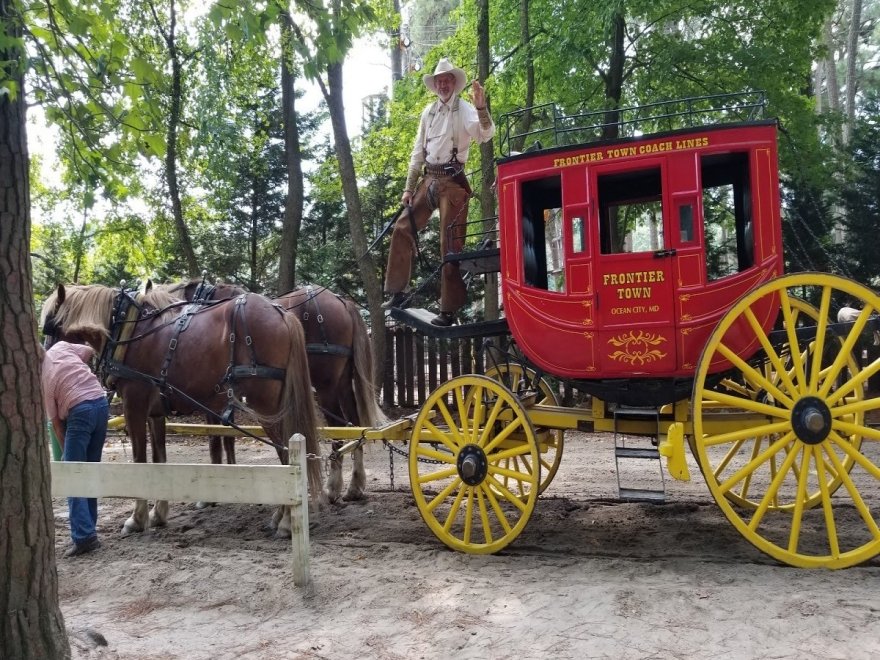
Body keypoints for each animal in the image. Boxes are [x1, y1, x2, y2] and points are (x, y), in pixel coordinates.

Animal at [41, 284, 326, 536]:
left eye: (51, 325)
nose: (45, 359)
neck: (128, 329)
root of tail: (282, 313)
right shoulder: (155, 413)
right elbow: (159, 460)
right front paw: (158, 514)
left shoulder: (135, 404)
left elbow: (139, 460)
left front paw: (137, 518)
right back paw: (280, 516)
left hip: (267, 406)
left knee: (286, 453)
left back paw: (286, 522)